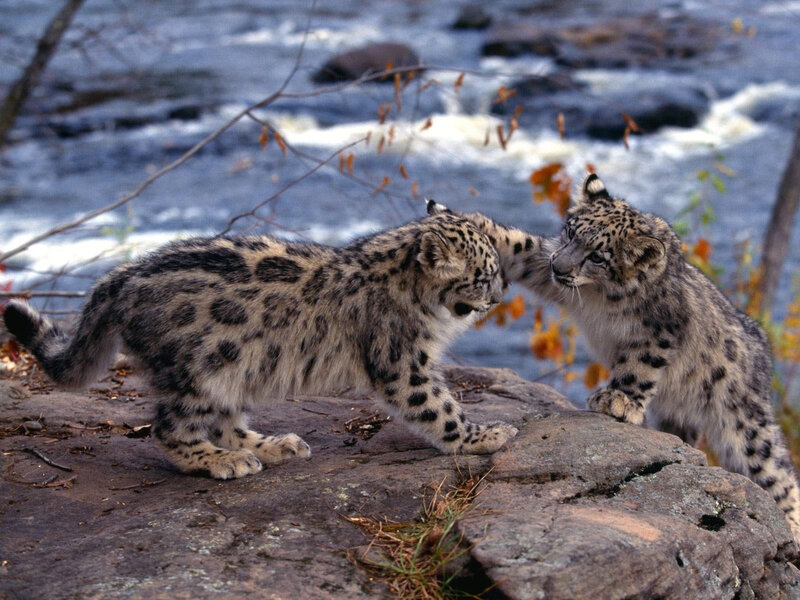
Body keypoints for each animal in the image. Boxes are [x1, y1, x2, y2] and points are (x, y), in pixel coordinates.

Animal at [2, 211, 518, 479]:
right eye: (484, 275)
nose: (499, 297)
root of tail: (122, 275)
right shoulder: (402, 362)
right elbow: (438, 408)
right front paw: (484, 436)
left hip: (234, 368)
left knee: (227, 420)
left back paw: (273, 445)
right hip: (198, 371)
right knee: (169, 429)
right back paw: (225, 461)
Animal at [427, 173, 800, 541]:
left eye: (598, 256)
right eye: (571, 231)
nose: (559, 265)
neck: (598, 296)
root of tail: (764, 357)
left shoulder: (660, 329)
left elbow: (638, 365)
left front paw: (617, 399)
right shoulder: (544, 265)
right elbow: (519, 245)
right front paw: (458, 218)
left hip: (744, 423)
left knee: (777, 472)